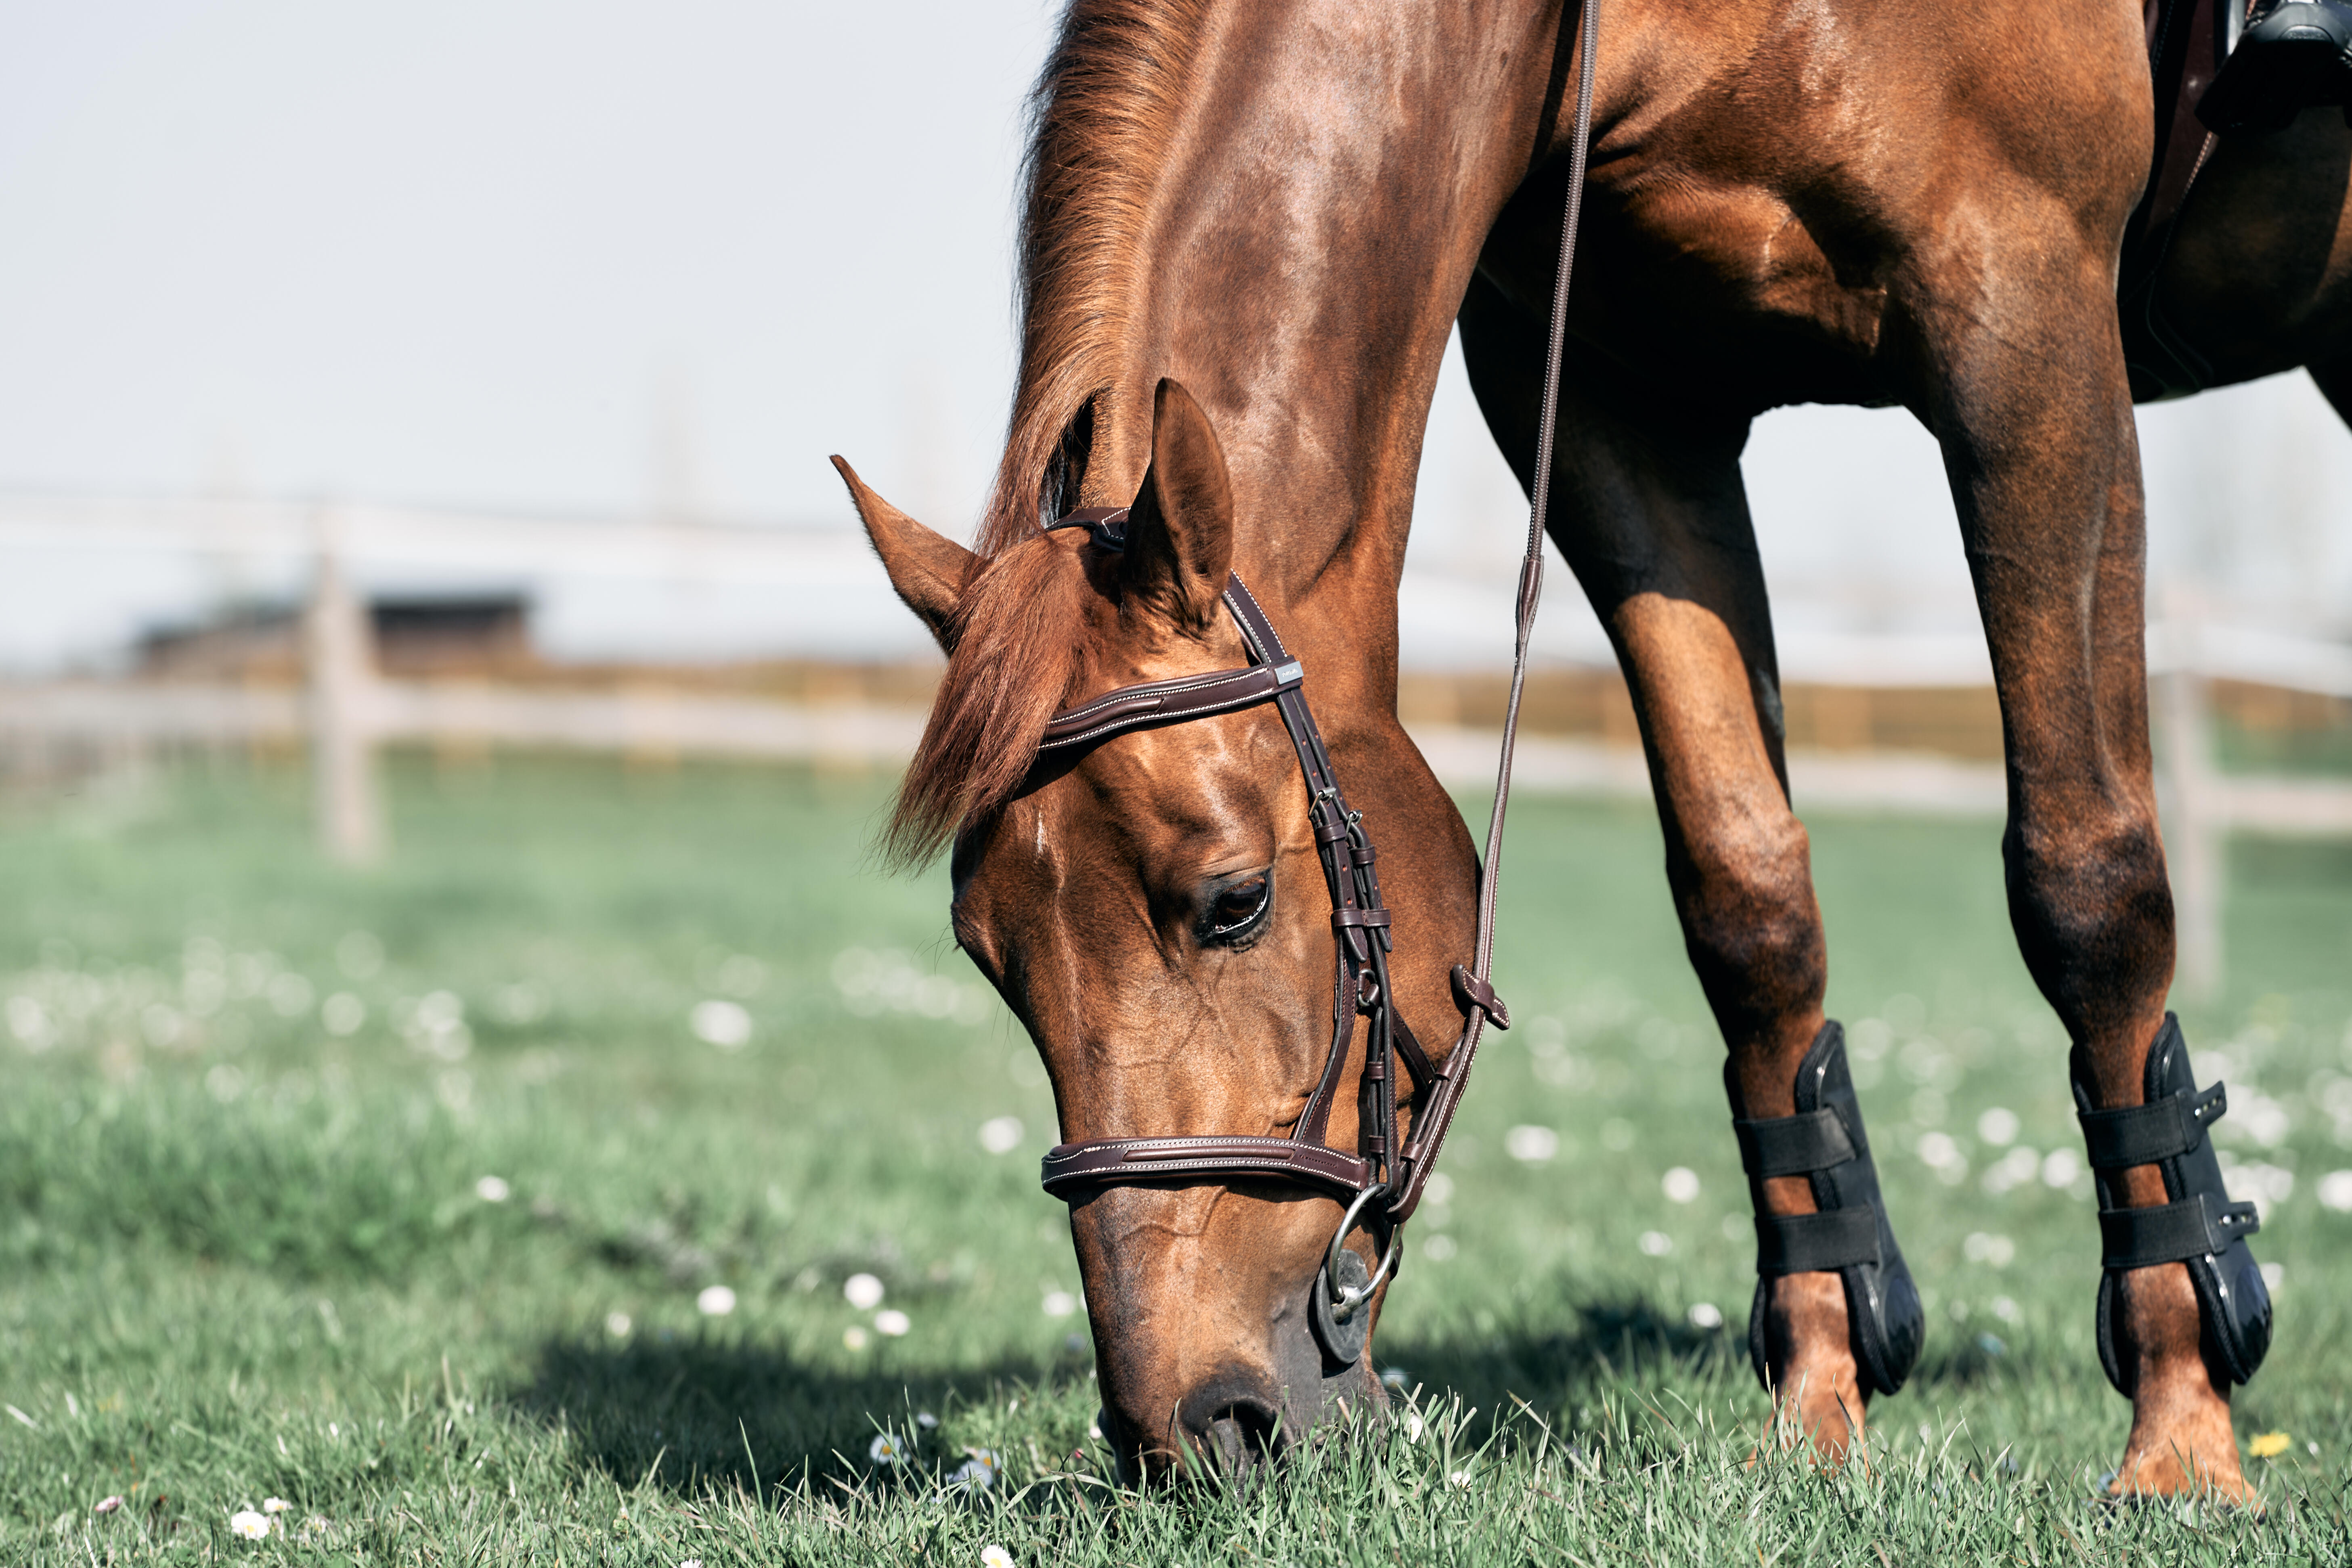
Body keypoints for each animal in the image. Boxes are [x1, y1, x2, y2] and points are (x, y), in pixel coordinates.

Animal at [837, 0, 2342, 1495]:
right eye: (985, 951)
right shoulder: (1622, 410)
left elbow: (2088, 881)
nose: (1192, 1432)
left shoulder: (2026, 327)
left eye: (1233, 902)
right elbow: (1747, 903)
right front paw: (1815, 1412)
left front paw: (2182, 1432)